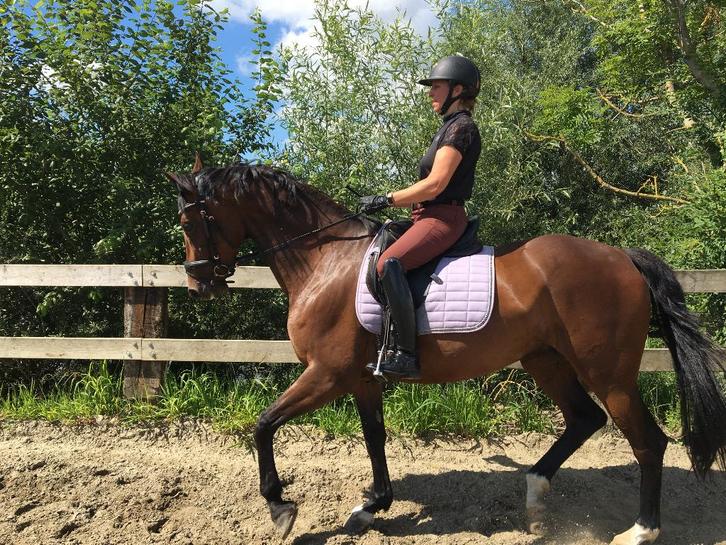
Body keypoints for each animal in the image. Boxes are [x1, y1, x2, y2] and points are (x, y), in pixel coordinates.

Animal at [168, 157, 726, 545]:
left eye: (191, 223)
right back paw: (534, 494)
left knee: (648, 442)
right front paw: (372, 506)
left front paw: (280, 508)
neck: (325, 261)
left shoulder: (327, 374)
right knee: (584, 420)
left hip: (608, 372)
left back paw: (640, 531)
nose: (197, 285)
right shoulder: (361, 378)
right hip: (546, 360)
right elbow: (375, 438)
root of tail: (623, 258)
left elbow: (263, 424)